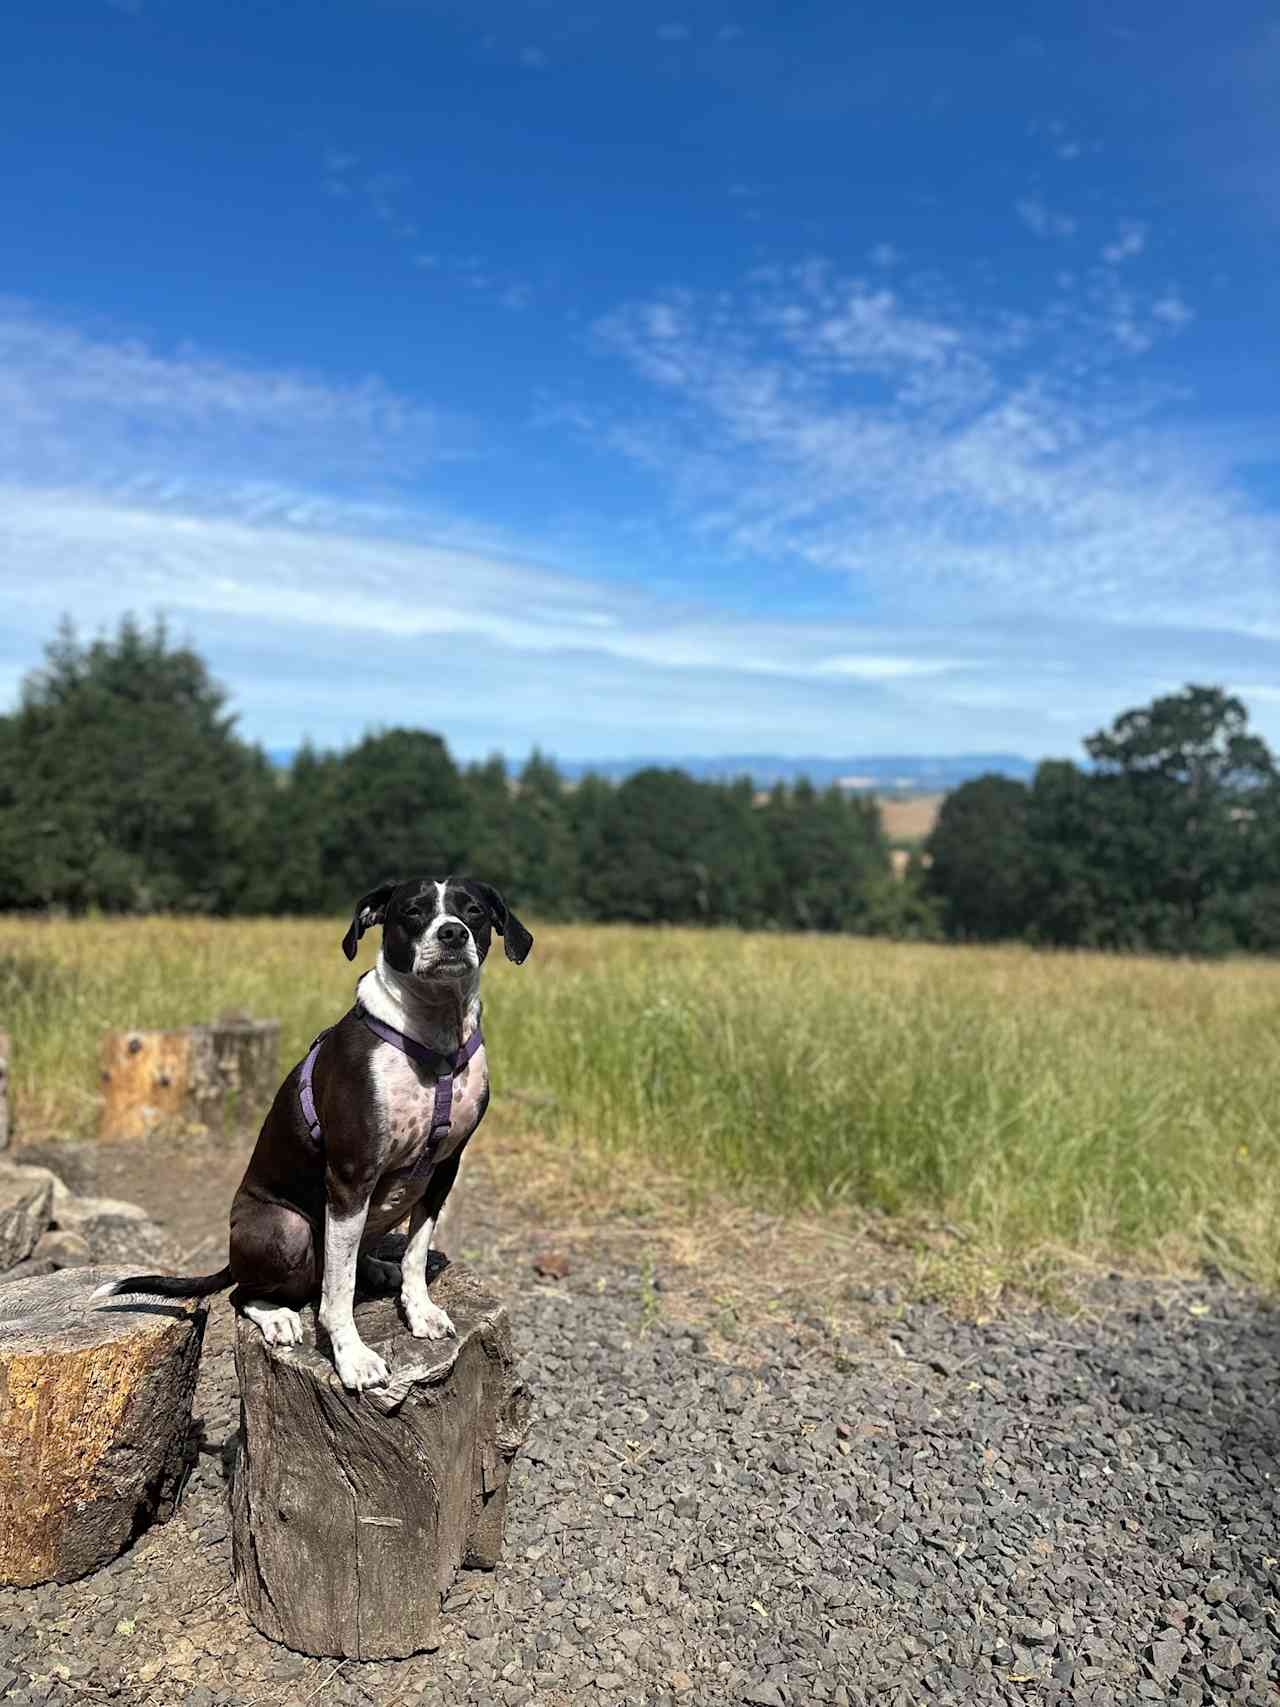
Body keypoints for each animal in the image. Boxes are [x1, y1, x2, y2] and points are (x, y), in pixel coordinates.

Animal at [97, 880, 532, 1386]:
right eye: (413, 911)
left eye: (473, 911)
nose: (452, 933)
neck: (432, 1034)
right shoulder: (350, 1176)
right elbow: (337, 1294)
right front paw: (353, 1357)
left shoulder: (443, 1170)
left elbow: (415, 1254)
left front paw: (420, 1310)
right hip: (288, 1228)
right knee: (245, 1291)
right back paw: (279, 1317)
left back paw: (376, 1269)